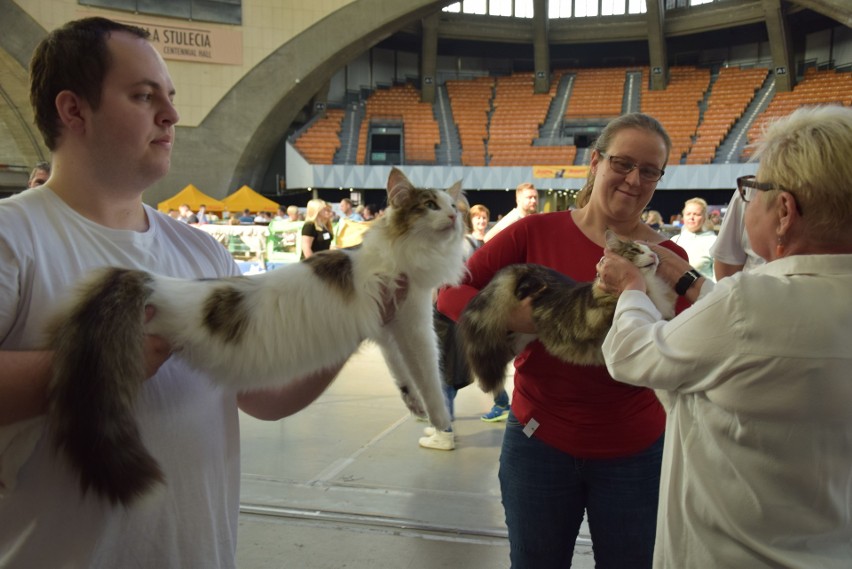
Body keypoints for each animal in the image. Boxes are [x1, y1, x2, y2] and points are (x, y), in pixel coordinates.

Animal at [45, 168, 466, 506]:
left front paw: (414, 405)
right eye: (430, 205)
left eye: (453, 206)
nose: (454, 216)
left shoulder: (388, 328)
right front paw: (441, 421)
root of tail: (152, 282)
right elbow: (430, 377)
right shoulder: (412, 322)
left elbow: (402, 373)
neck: (395, 251)